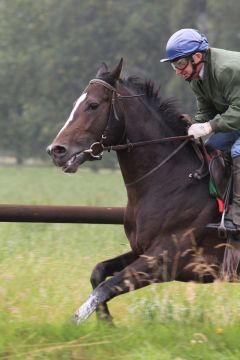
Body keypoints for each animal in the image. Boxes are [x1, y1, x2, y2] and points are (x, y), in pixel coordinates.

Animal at [47, 59, 231, 324]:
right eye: (75, 104)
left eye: (93, 105)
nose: (56, 150)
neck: (170, 180)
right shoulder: (142, 250)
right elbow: (98, 272)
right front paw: (106, 323)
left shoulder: (165, 259)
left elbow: (106, 287)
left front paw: (77, 323)